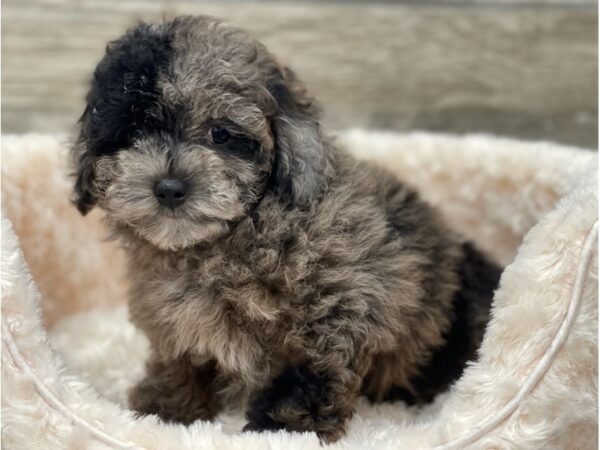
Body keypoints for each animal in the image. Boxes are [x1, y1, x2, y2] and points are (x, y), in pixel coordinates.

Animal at [70, 16, 502, 442]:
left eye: (220, 134)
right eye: (132, 134)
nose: (169, 187)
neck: (232, 237)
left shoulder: (339, 299)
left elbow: (309, 365)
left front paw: (286, 427)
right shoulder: (175, 318)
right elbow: (182, 359)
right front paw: (166, 408)